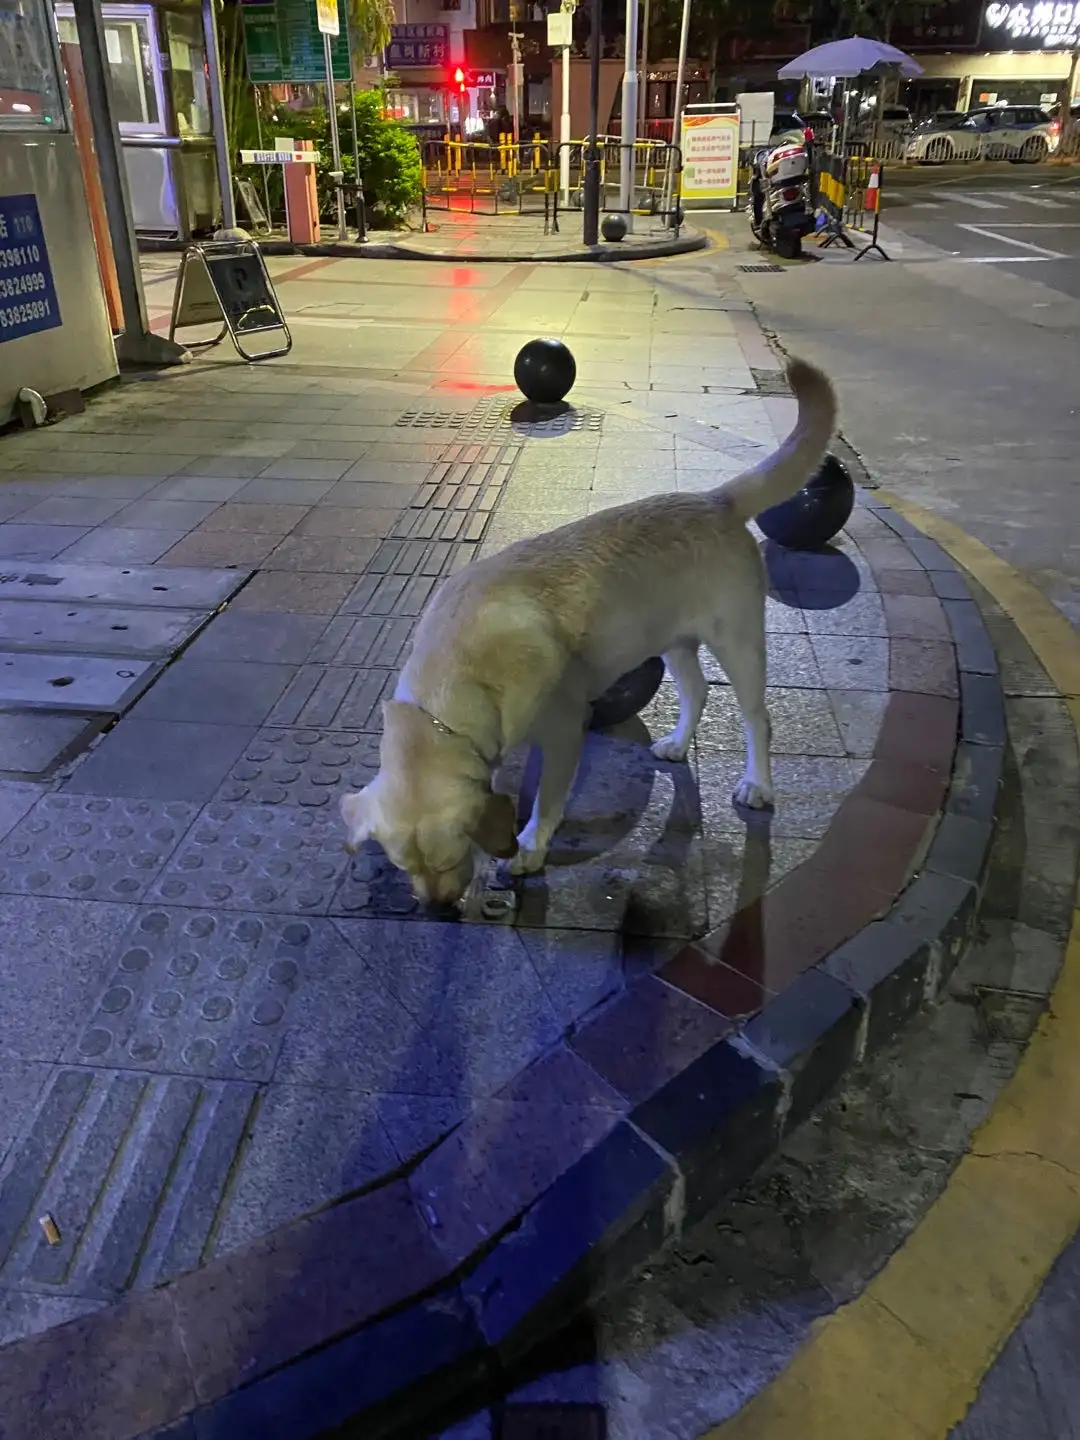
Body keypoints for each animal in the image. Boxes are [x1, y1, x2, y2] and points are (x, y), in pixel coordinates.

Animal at [342, 358, 840, 898]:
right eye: (405, 868)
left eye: (451, 858)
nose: (439, 907)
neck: (455, 678)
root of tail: (716, 500)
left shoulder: (564, 732)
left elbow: (546, 804)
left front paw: (530, 847)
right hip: (672, 640)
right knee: (698, 691)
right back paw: (678, 743)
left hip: (739, 644)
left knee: (757, 719)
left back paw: (758, 784)